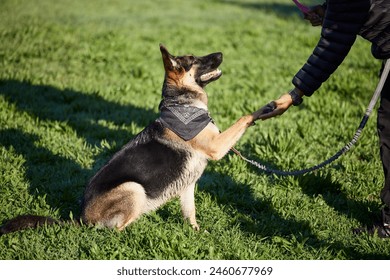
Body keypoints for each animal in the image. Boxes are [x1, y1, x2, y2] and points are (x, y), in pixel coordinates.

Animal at [0, 44, 272, 234]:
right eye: (195, 60)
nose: (221, 53)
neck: (181, 103)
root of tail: (80, 219)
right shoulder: (216, 146)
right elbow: (244, 117)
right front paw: (269, 107)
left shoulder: (187, 186)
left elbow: (190, 213)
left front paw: (196, 233)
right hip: (134, 188)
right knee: (115, 231)